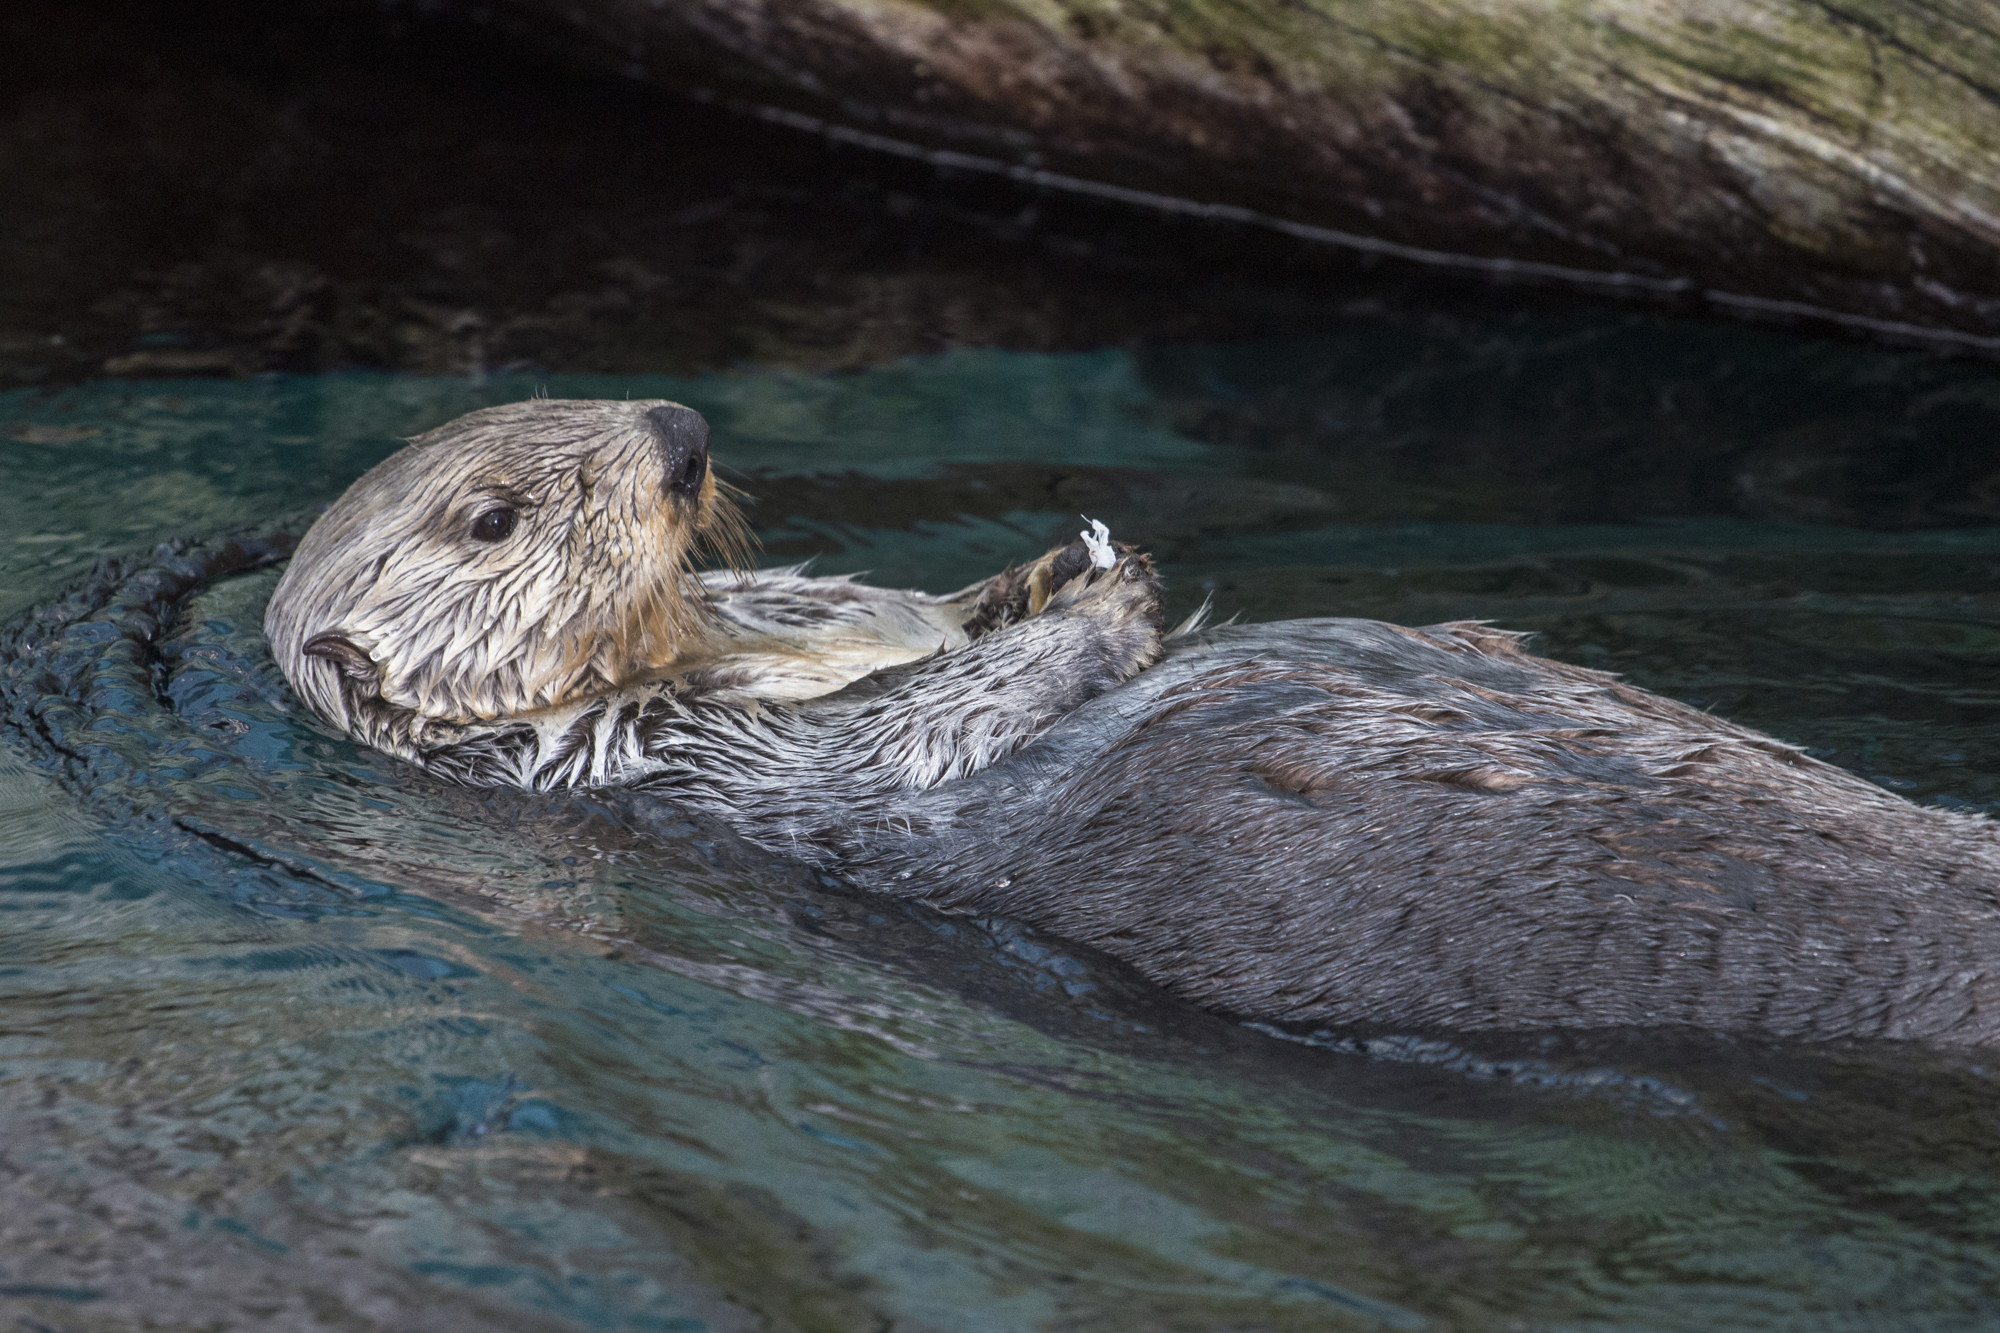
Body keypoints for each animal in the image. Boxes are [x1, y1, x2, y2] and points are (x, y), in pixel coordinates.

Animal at [266, 398, 2000, 1045]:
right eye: (494, 516)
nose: (681, 431)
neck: (717, 654)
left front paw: (1061, 567)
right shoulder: (665, 766)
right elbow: (915, 739)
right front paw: (1097, 609)